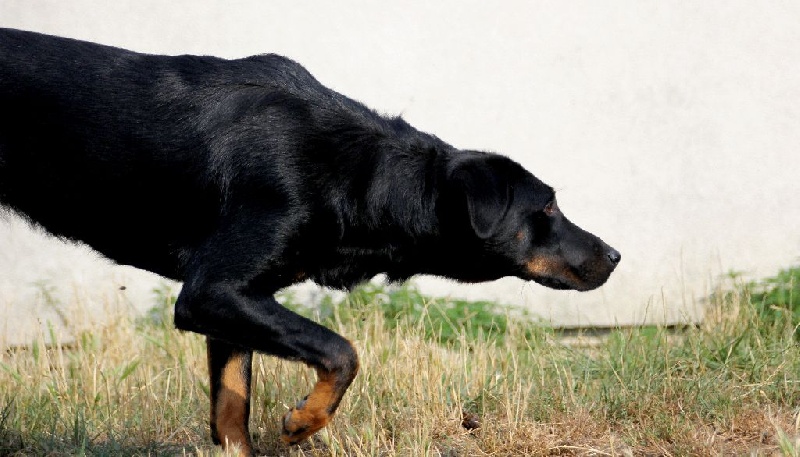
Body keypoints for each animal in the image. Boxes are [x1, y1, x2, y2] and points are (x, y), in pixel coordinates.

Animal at [0, 29, 620, 456]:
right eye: (547, 207)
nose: (615, 256)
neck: (361, 175)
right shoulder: (212, 291)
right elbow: (342, 352)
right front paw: (302, 421)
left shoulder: (234, 307)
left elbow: (232, 412)